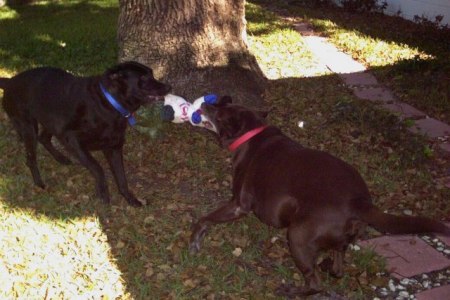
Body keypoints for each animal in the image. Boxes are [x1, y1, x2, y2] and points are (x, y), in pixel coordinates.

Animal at [0, 61, 171, 206]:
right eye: (144, 78)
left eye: (152, 73)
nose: (168, 87)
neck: (109, 103)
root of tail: (10, 81)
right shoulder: (73, 140)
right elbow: (98, 168)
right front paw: (103, 194)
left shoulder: (114, 147)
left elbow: (122, 179)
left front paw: (131, 200)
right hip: (30, 127)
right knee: (31, 158)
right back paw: (39, 183)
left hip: (51, 120)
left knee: (44, 138)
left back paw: (61, 158)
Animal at [190, 95, 450, 296]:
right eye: (220, 104)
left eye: (219, 113)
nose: (203, 104)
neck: (252, 134)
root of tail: (360, 202)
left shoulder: (239, 204)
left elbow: (204, 218)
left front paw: (194, 241)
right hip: (337, 237)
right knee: (338, 267)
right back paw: (327, 264)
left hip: (298, 236)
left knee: (316, 284)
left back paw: (291, 290)